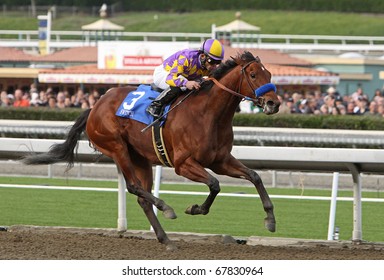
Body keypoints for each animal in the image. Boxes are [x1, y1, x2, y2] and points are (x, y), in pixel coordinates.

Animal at [23, 50, 280, 249]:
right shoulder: (183, 164)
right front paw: (195, 208)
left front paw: (270, 219)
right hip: (117, 148)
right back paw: (166, 208)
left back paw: (165, 239)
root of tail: (95, 106)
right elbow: (215, 184)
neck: (208, 114)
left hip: (141, 158)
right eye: (254, 75)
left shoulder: (220, 160)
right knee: (134, 187)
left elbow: (254, 176)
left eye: (269, 74)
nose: (274, 103)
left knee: (142, 198)